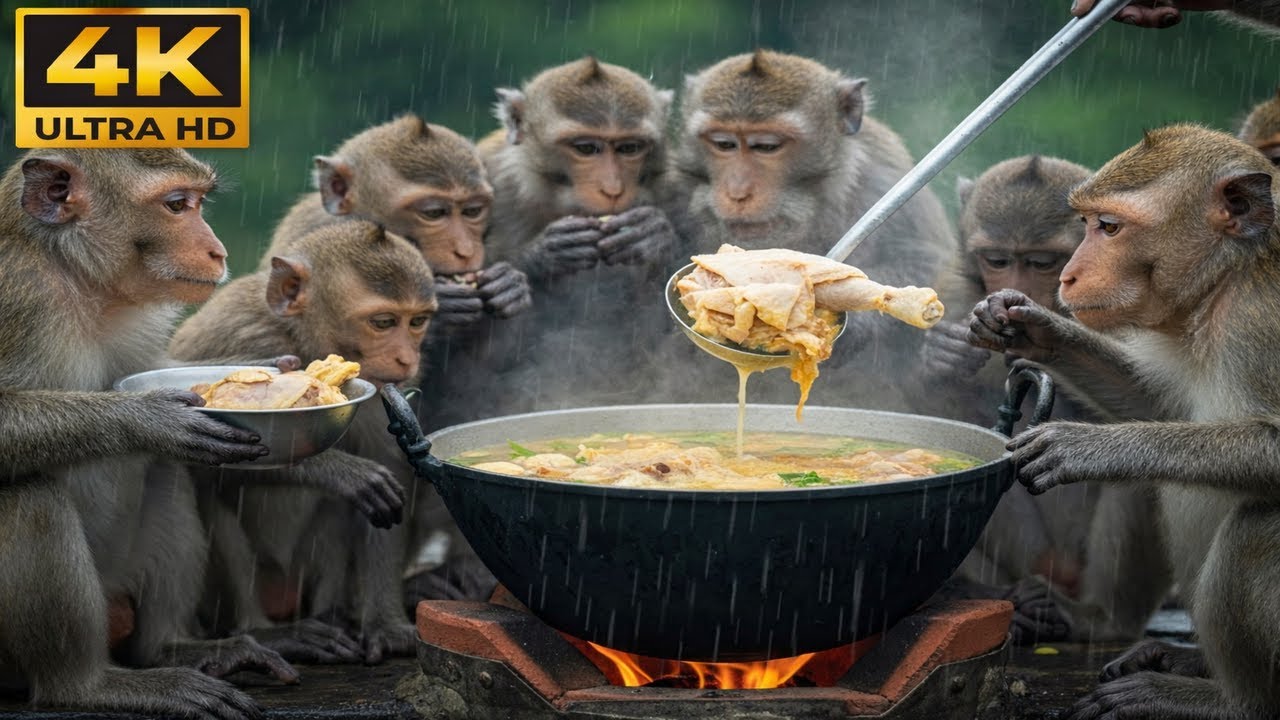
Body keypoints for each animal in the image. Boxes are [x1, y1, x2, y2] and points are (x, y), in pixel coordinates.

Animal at [0, 149, 306, 719]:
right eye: (176, 205)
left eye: (198, 203)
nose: (217, 250)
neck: (74, 278)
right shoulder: (18, 298)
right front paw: (150, 420)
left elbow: (159, 368)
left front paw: (279, 368)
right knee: (28, 497)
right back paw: (86, 686)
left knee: (167, 471)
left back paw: (176, 648)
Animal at [171, 220, 437, 664]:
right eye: (383, 322)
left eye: (417, 322)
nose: (407, 358)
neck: (301, 339)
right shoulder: (240, 337)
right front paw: (341, 469)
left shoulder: (373, 388)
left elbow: (390, 471)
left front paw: (386, 624)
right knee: (207, 485)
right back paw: (269, 633)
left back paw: (331, 615)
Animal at [969, 124, 1280, 719]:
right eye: (1087, 223)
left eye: (1110, 227)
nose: (1069, 276)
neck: (1230, 279)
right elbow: (1162, 408)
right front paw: (1032, 328)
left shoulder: (1264, 317)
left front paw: (1085, 447)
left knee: (1257, 523)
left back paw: (1221, 700)